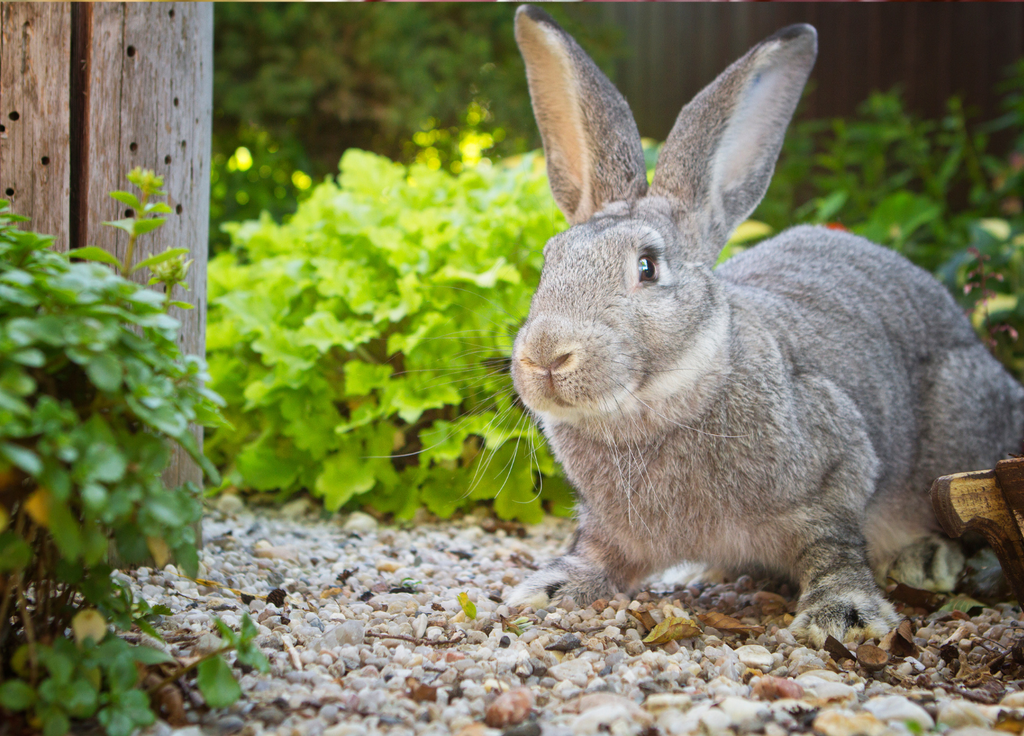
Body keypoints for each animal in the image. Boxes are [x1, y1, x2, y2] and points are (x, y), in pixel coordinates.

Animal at [503, 2, 1024, 646]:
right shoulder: (611, 528)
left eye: (647, 267)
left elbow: (832, 546)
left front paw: (843, 615)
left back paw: (926, 561)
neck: (656, 407)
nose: (545, 356)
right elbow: (597, 554)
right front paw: (548, 589)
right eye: (549, 260)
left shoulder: (834, 473)